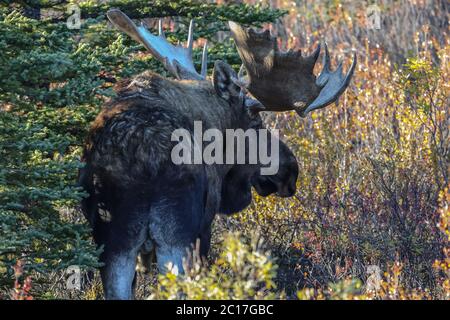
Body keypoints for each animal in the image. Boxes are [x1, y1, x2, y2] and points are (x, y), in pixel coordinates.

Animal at [80, 10, 356, 300]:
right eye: (257, 123)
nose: (291, 170)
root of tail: (143, 161)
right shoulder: (204, 226)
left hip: (113, 240)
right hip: (175, 235)